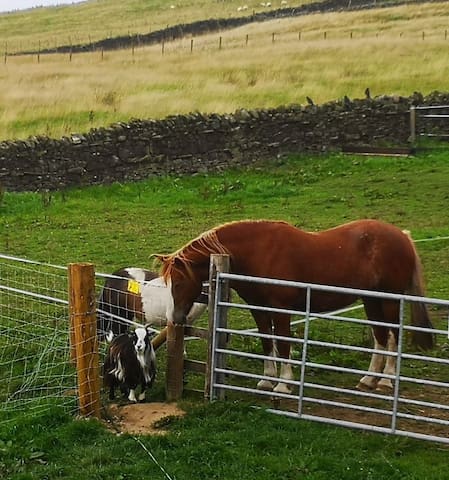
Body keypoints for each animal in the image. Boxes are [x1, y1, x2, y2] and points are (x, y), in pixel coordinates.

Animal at [155, 220, 434, 394]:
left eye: (178, 282)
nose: (175, 318)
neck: (258, 251)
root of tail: (403, 236)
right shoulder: (258, 308)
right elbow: (267, 342)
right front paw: (267, 380)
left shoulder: (281, 309)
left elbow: (284, 343)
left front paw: (283, 384)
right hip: (371, 300)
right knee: (380, 336)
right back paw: (368, 380)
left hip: (390, 300)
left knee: (393, 337)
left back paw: (386, 381)